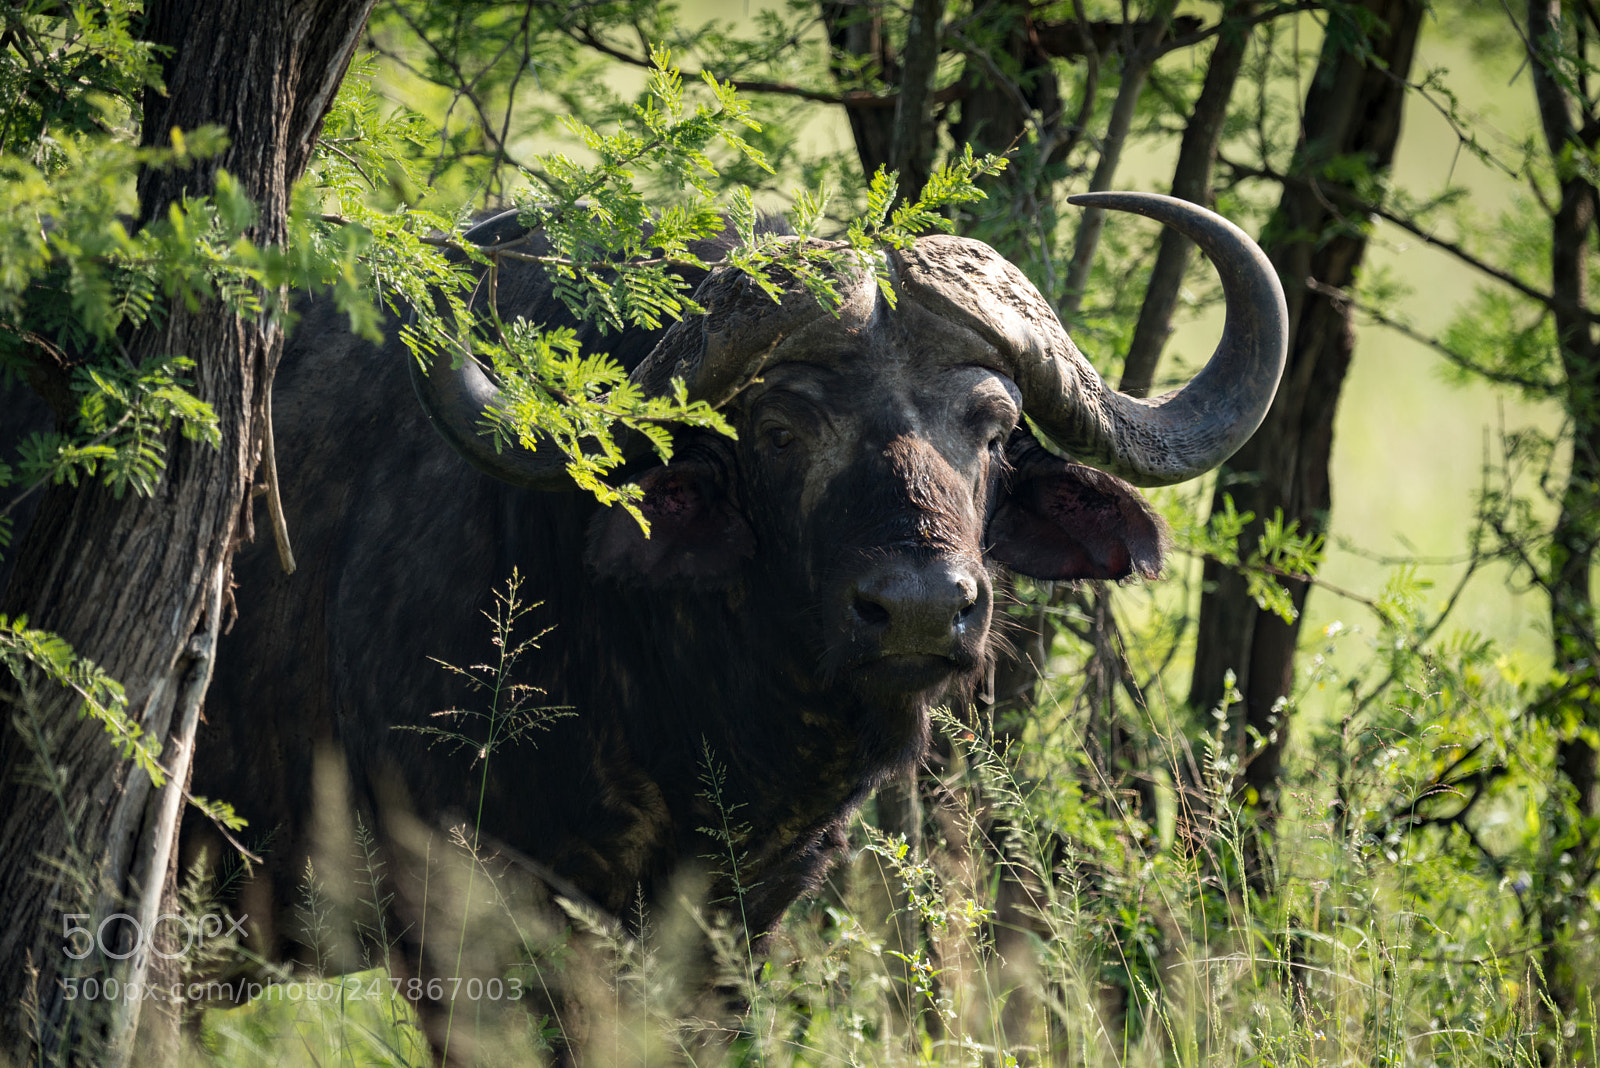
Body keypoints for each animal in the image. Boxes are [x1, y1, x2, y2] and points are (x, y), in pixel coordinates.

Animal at [184, 192, 1285, 1055]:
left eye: (995, 428)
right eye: (781, 429)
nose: (922, 607)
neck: (677, 713)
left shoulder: (737, 929)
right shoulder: (460, 933)